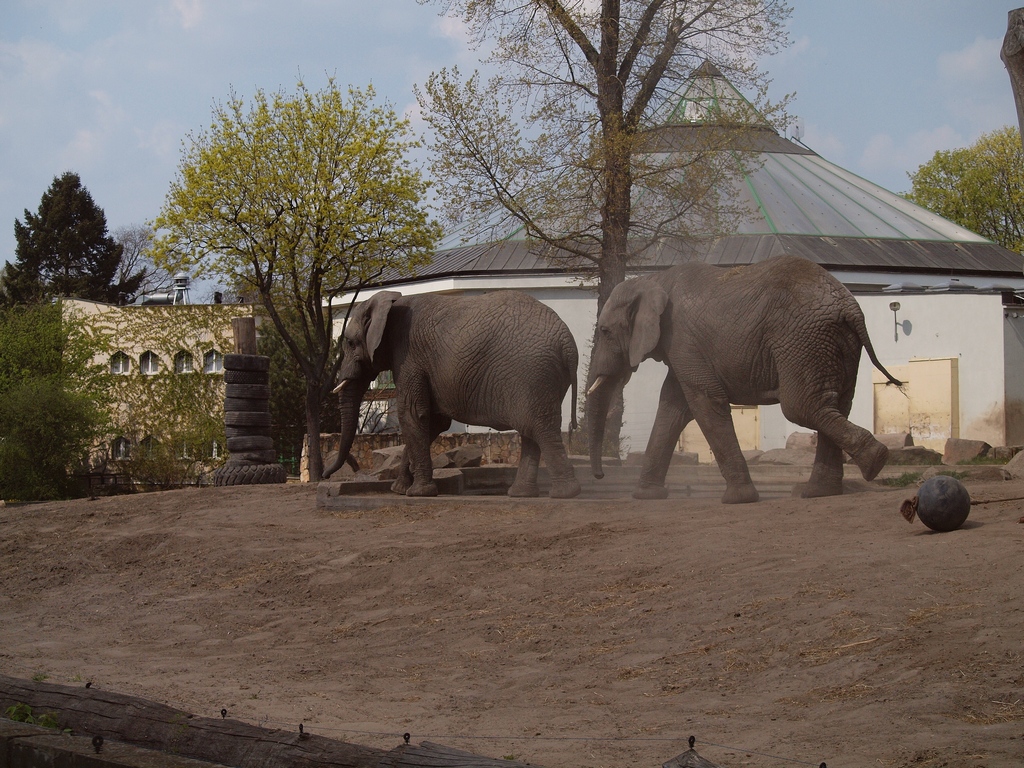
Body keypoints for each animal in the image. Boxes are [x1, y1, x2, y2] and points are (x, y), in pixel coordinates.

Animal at [322, 289, 582, 499]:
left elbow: (413, 415)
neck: (391, 302)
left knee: (540, 429)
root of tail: (568, 344)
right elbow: (434, 422)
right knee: (532, 430)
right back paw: (521, 494)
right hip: (543, 379)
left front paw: (418, 493)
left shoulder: (409, 358)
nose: (324, 475)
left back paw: (564, 494)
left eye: (350, 343)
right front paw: (399, 489)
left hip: (532, 373)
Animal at [585, 255, 902, 504]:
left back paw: (874, 462)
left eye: (604, 331)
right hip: (834, 342)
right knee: (837, 403)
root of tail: (850, 306)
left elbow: (704, 402)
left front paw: (738, 499)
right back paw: (820, 491)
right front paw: (646, 496)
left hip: (802, 340)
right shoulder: (685, 350)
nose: (599, 476)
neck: (652, 279)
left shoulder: (683, 340)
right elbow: (672, 407)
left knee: (801, 407)